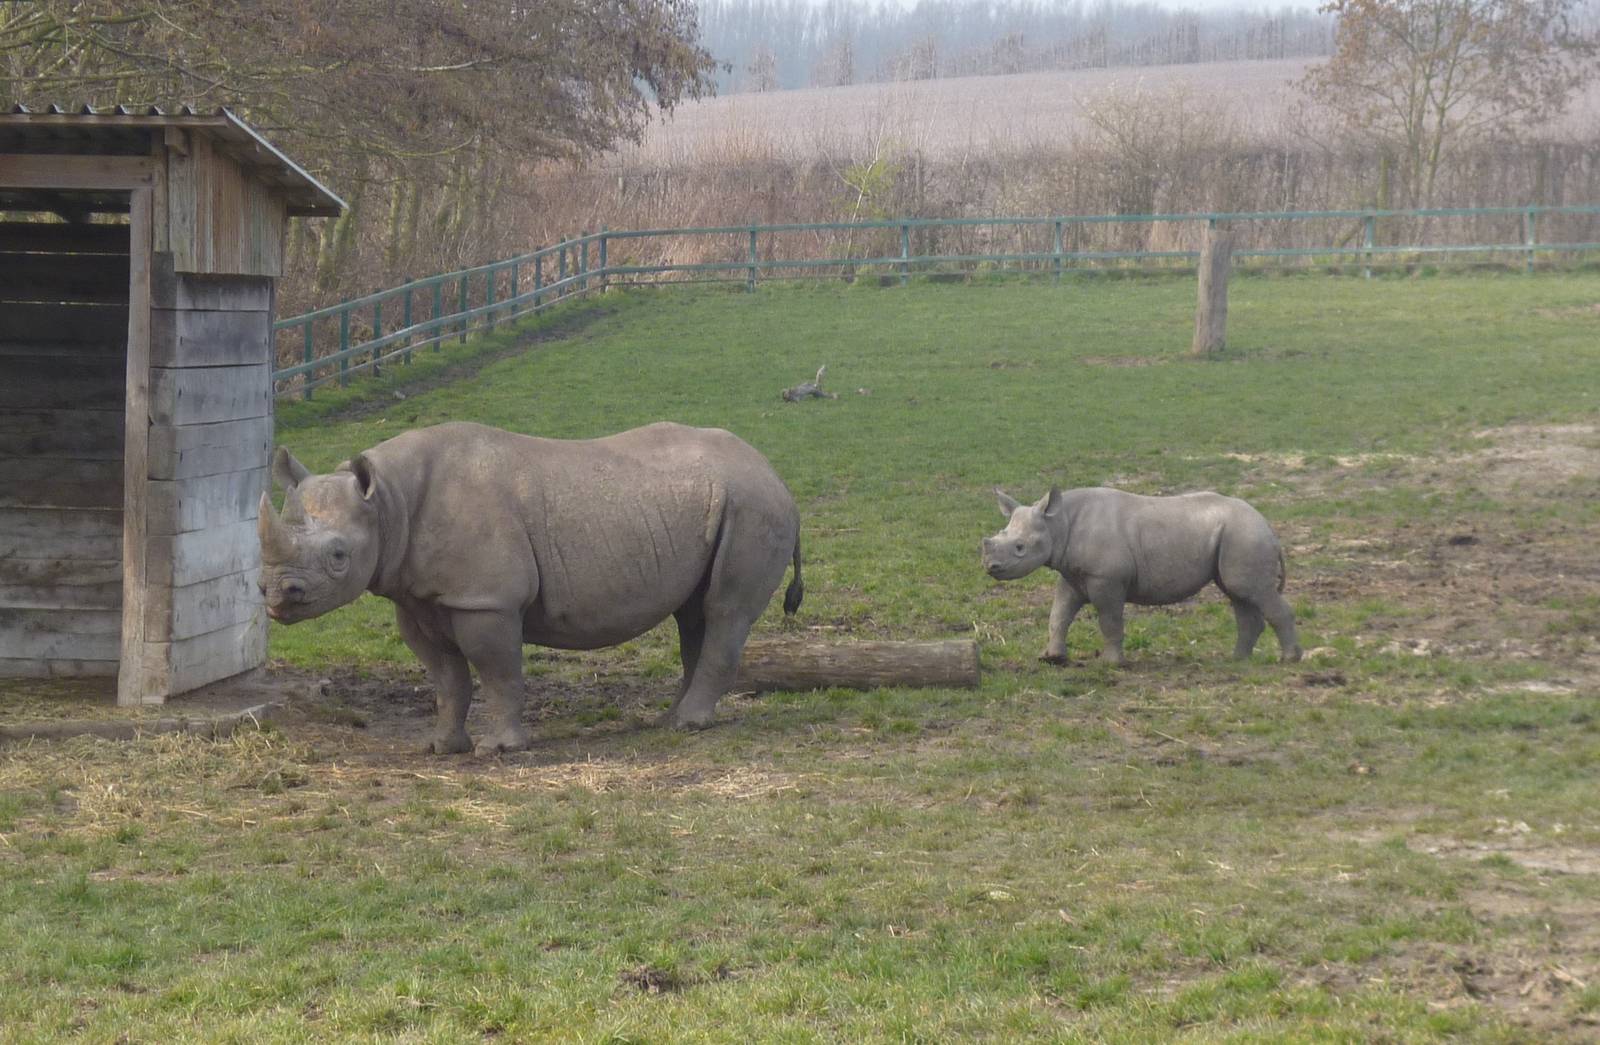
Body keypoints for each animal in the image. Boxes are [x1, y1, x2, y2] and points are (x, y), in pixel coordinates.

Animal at [258, 421, 803, 754]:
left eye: (338, 556)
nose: (277, 597)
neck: (389, 502)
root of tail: (775, 474)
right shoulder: (416, 598)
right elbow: (446, 678)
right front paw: (440, 747)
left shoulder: (487, 601)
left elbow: (497, 670)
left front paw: (499, 749)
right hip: (724, 502)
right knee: (694, 614)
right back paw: (669, 720)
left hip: (753, 506)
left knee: (725, 611)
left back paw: (689, 724)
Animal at [981, 487, 1301, 665]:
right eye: (1000, 535)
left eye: (1020, 548)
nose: (990, 566)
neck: (1058, 523)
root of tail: (1268, 526)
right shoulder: (1073, 574)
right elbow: (1059, 614)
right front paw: (1052, 658)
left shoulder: (1106, 578)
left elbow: (1109, 620)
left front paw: (1112, 664)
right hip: (1237, 536)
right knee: (1239, 594)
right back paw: (1237, 660)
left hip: (1245, 535)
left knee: (1251, 591)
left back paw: (1288, 660)